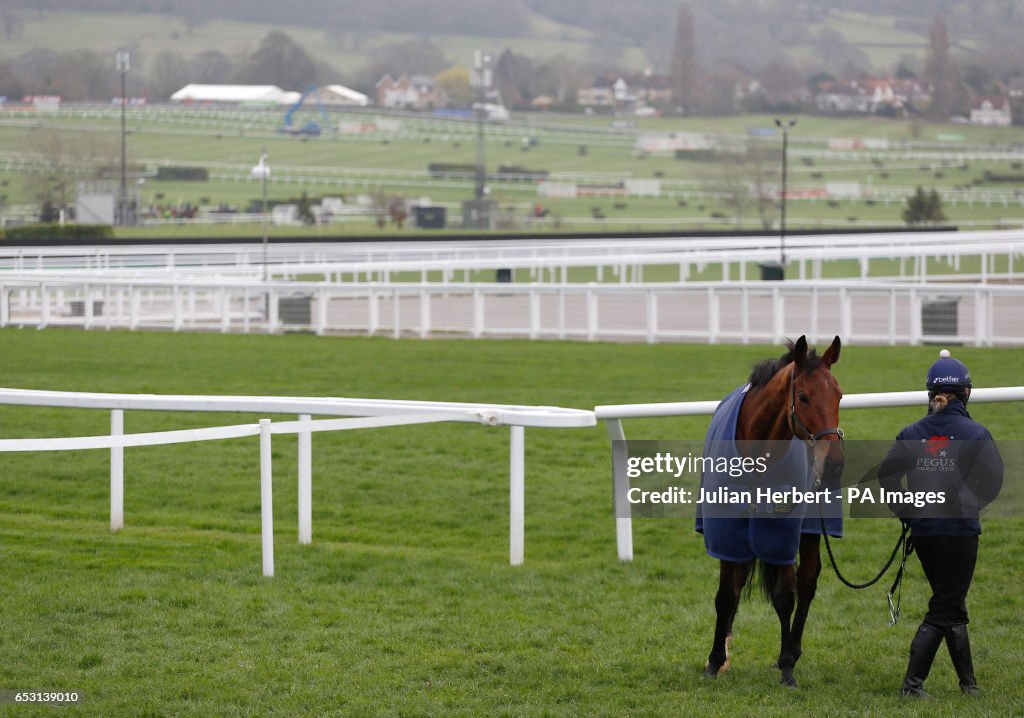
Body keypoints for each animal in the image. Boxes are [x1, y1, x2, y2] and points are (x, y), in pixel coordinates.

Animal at [700, 333, 843, 684]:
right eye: (803, 396)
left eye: (839, 395)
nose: (834, 465)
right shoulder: (726, 532)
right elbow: (726, 595)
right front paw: (714, 661)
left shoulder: (782, 531)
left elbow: (784, 596)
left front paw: (787, 663)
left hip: (808, 529)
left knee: (806, 583)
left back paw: (793, 649)